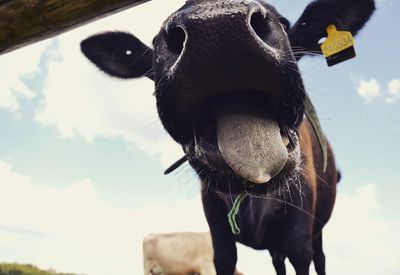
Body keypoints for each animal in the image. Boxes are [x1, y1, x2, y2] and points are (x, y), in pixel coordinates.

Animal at [80, 0, 376, 274]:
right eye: (153, 42)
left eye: (284, 22)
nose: (217, 24)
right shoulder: (215, 225)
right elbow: (225, 258)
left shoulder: (300, 226)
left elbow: (302, 257)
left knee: (319, 258)